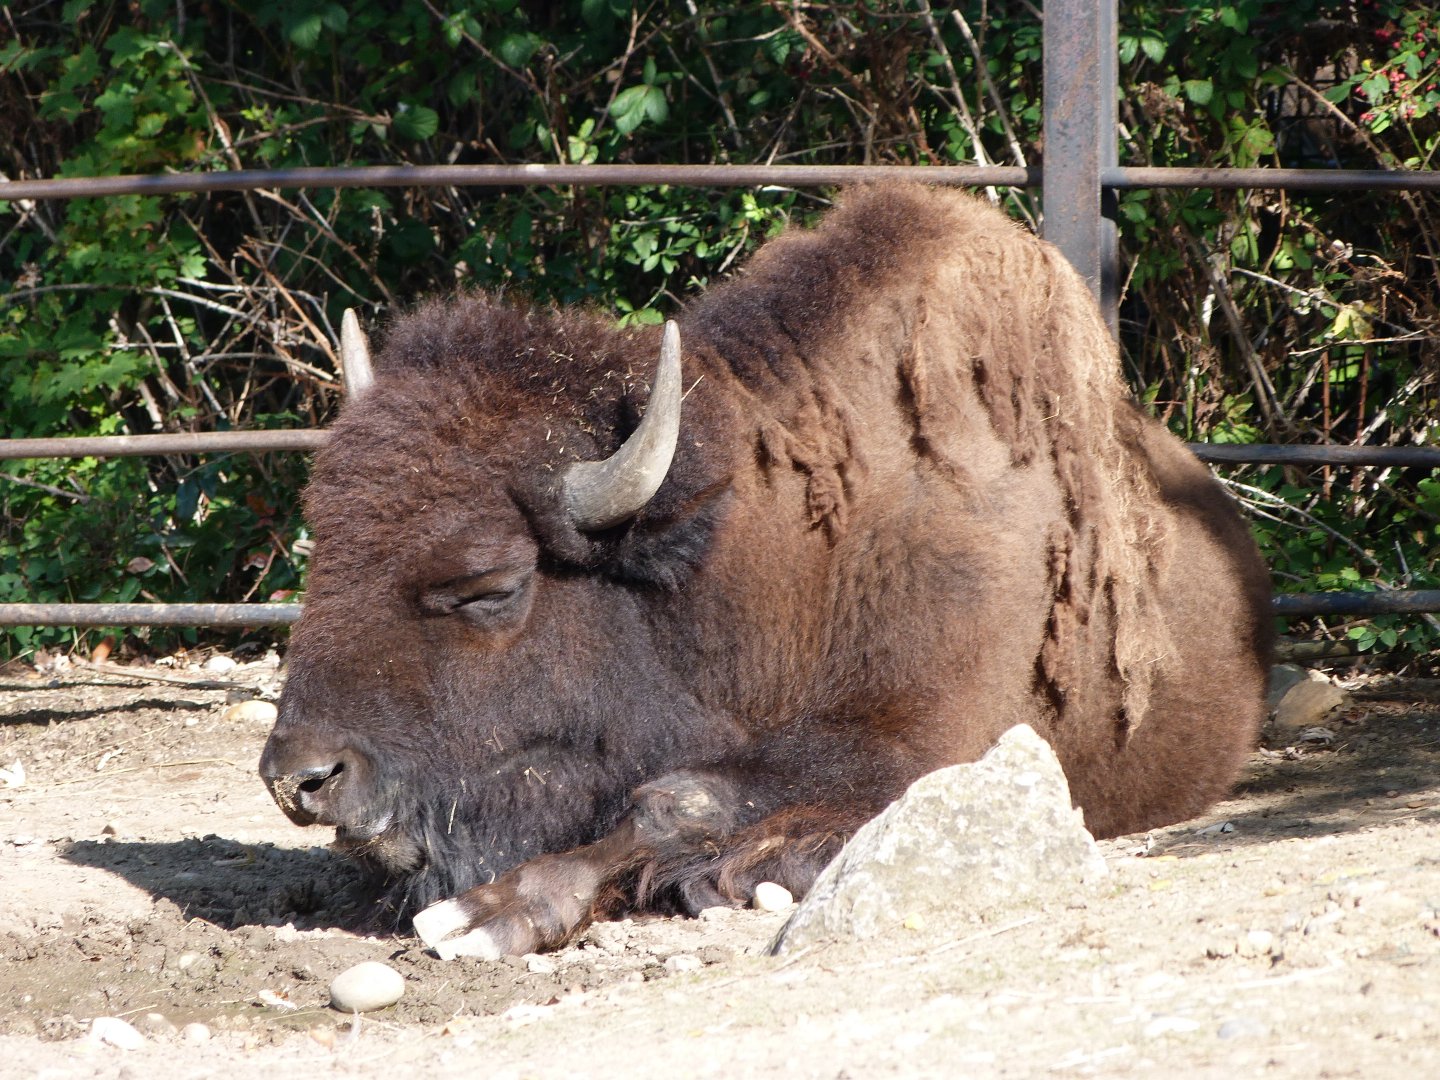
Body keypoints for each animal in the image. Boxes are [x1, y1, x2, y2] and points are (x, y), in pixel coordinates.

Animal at [260, 184, 1272, 959]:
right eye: (325, 545)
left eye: (491, 585)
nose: (298, 778)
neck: (765, 562)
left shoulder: (936, 746)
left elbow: (678, 799)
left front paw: (482, 917)